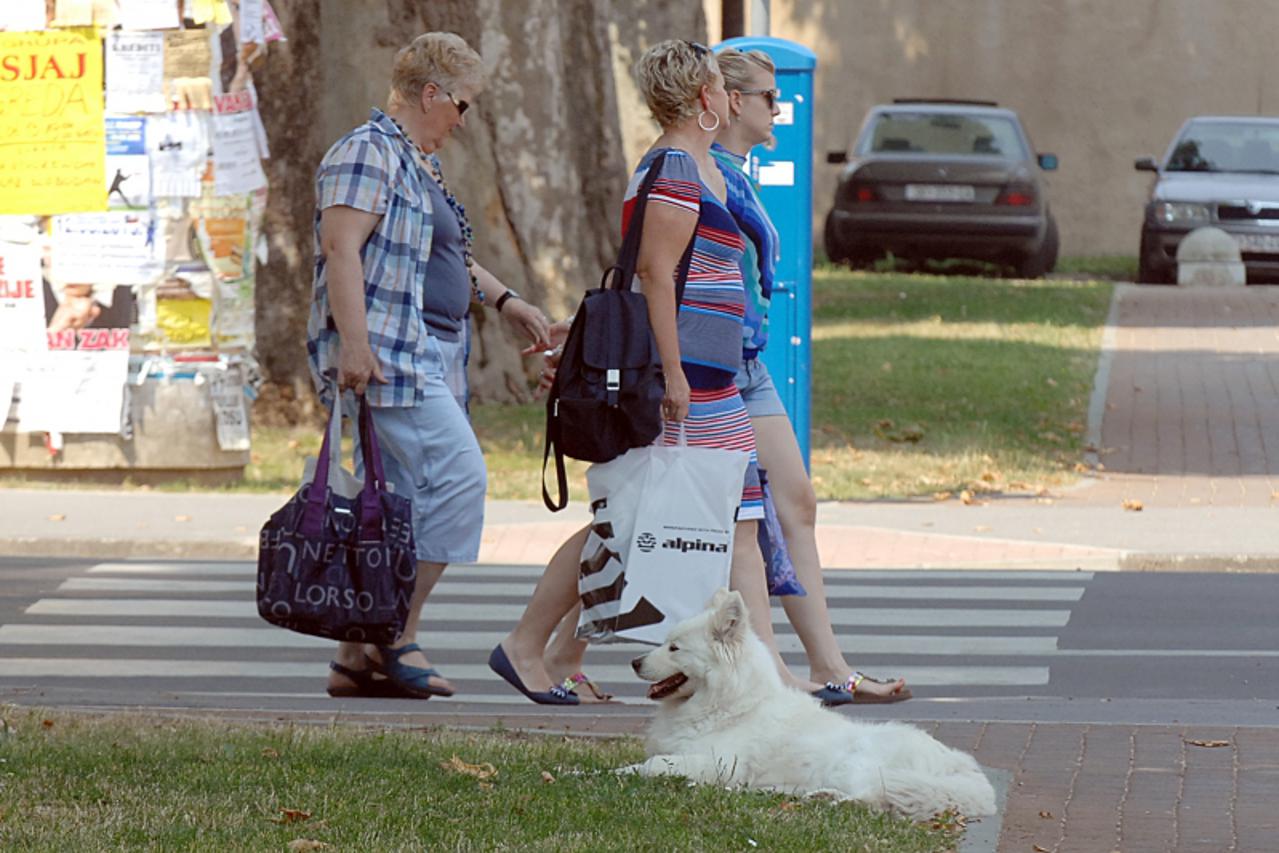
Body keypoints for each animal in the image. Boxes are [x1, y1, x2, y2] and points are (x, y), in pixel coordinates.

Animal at [621, 588, 997, 818]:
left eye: (675, 648)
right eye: (666, 643)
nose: (634, 662)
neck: (731, 704)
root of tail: (962, 769)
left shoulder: (722, 763)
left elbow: (655, 763)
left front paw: (621, 773)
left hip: (856, 762)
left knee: (875, 798)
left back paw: (830, 799)